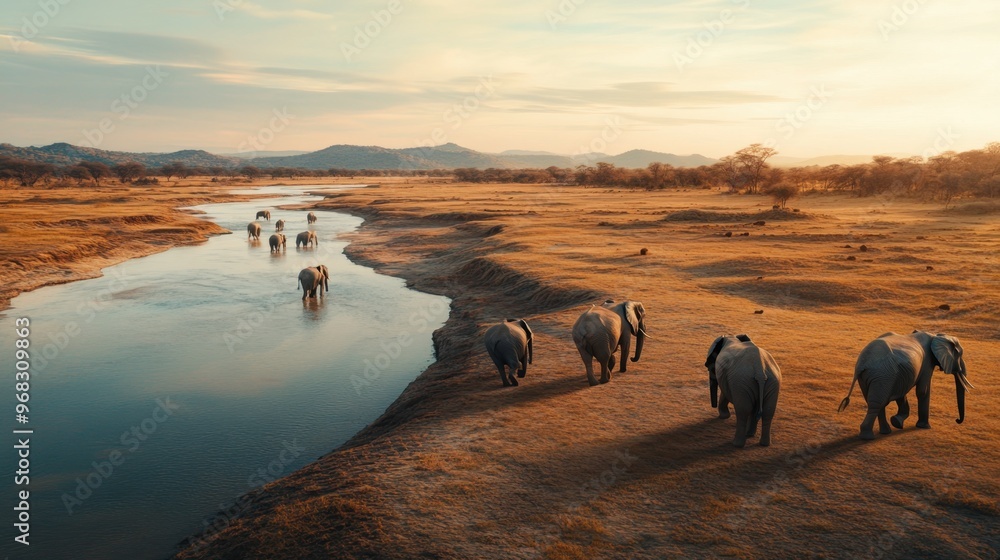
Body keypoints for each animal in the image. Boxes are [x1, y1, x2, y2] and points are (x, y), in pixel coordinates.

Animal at [839, 331, 973, 440]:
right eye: (960, 354)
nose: (957, 420)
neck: (936, 335)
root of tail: (862, 363)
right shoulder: (926, 363)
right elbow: (922, 391)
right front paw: (923, 427)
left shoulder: (902, 375)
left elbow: (901, 392)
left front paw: (897, 422)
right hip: (883, 375)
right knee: (877, 403)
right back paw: (868, 437)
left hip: (875, 377)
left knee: (876, 402)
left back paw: (884, 432)